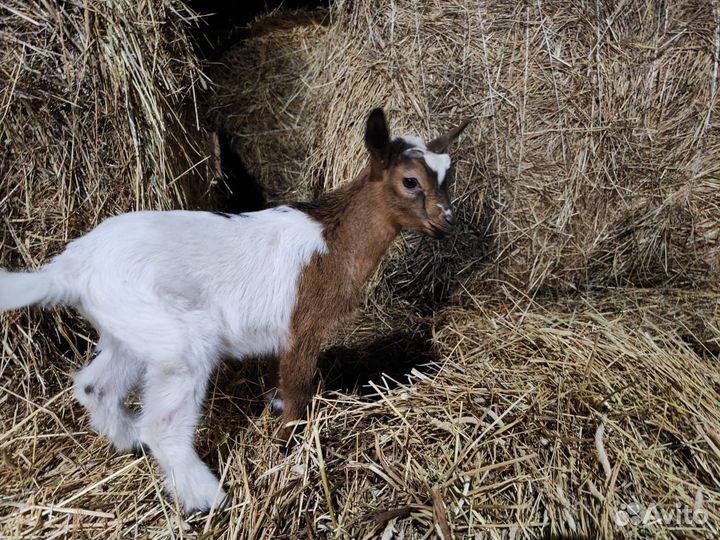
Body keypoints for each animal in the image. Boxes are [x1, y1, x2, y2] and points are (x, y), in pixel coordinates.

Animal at [0, 108, 469, 513]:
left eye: (447, 175)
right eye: (410, 181)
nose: (448, 221)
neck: (332, 242)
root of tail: (72, 267)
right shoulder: (302, 327)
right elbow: (297, 395)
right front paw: (287, 452)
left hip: (132, 330)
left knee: (95, 386)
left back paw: (130, 441)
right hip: (180, 341)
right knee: (162, 424)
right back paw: (207, 499)